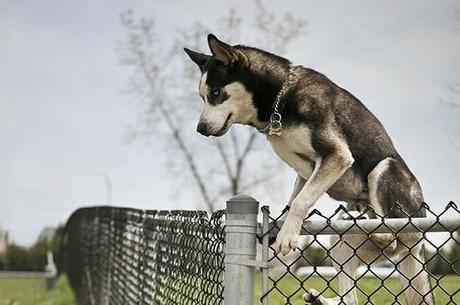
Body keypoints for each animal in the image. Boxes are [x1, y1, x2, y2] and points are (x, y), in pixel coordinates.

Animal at [183, 33, 432, 304]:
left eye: (216, 92)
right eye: (202, 97)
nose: (200, 129)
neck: (281, 99)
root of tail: (417, 244)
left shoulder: (337, 155)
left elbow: (301, 201)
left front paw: (287, 236)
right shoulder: (306, 169)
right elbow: (294, 198)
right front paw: (279, 225)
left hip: (385, 170)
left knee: (390, 236)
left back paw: (366, 220)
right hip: (339, 242)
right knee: (352, 297)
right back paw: (322, 296)